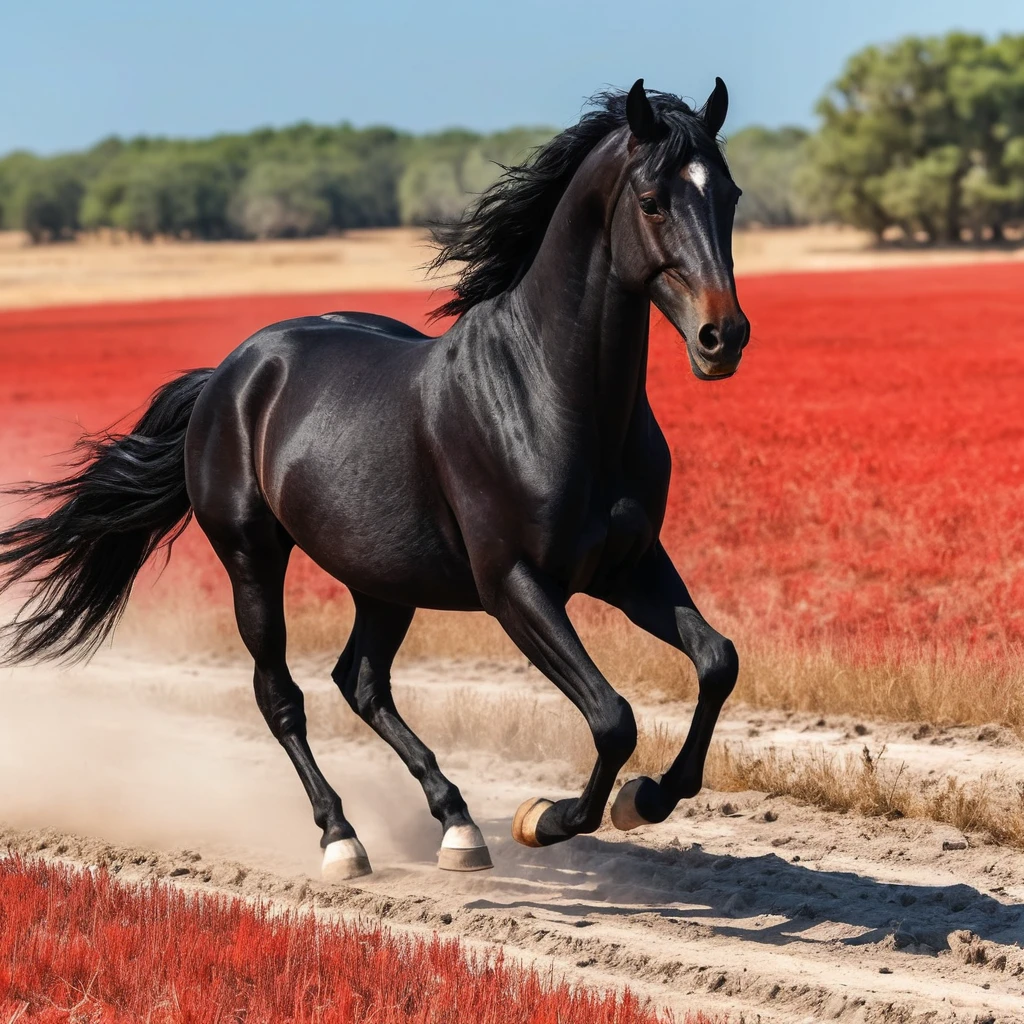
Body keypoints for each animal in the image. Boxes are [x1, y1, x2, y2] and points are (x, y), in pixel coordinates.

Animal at [0, 79, 749, 881]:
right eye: (651, 200)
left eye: (729, 193)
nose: (723, 337)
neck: (551, 396)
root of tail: (231, 372)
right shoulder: (515, 585)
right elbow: (613, 718)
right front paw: (545, 819)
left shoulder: (628, 566)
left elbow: (716, 661)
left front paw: (647, 797)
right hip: (252, 559)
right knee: (281, 695)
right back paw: (343, 838)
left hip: (384, 579)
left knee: (360, 682)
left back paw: (458, 826)